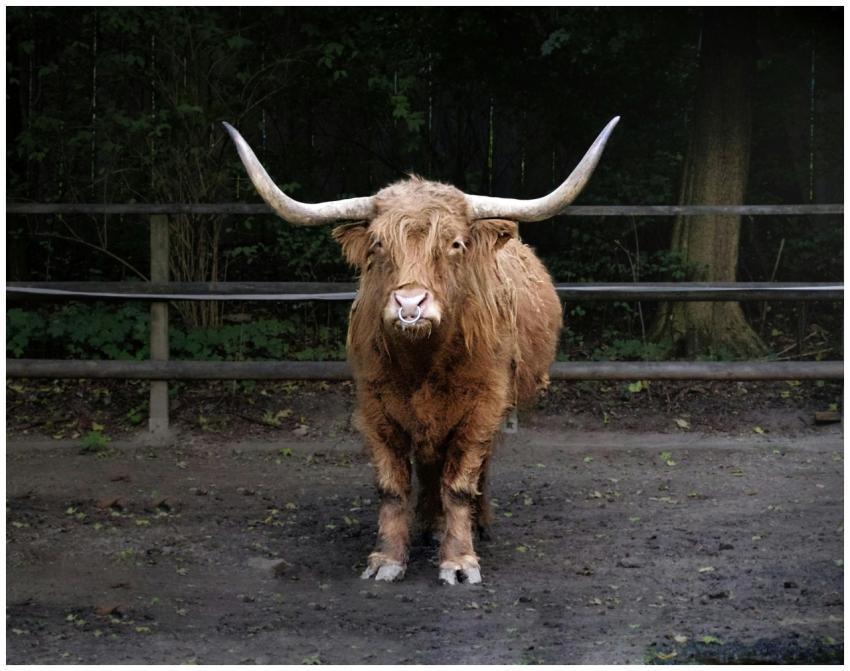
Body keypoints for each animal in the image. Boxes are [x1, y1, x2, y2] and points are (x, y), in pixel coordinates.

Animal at [224, 117, 618, 585]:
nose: (410, 305)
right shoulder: (375, 410)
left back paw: (479, 524)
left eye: (455, 244)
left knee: (476, 468)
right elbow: (393, 487)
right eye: (378, 245)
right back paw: (429, 525)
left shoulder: (482, 407)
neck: (423, 364)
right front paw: (388, 558)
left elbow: (460, 484)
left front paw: (460, 561)